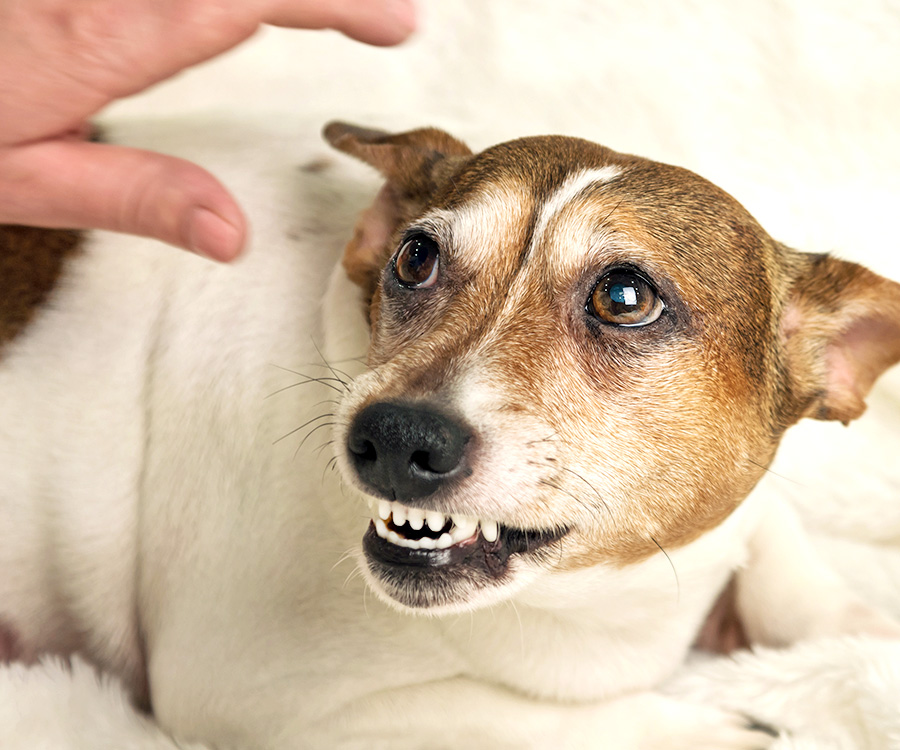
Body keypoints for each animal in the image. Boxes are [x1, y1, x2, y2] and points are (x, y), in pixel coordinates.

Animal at [1, 120, 900, 748]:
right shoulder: (262, 698)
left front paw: (861, 625)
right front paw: (699, 729)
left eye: (625, 297)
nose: (395, 435)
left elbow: (790, 568)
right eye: (414, 257)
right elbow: (517, 717)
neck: (593, 598)